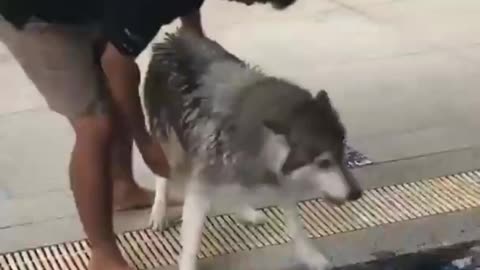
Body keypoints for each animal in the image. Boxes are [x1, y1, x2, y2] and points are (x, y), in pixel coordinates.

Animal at [144, 30, 362, 270]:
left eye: (342, 154)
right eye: (324, 163)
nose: (357, 193)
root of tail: (174, 36)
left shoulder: (275, 177)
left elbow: (296, 226)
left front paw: (311, 255)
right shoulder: (204, 182)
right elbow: (192, 240)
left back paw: (245, 210)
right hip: (170, 146)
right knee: (162, 176)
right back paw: (159, 212)